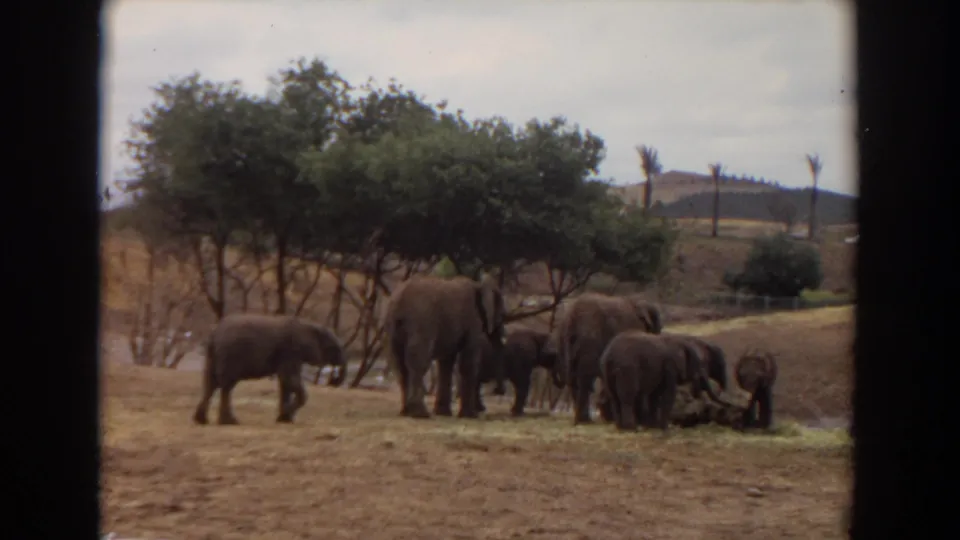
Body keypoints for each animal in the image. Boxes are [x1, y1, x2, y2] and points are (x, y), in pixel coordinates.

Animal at [192, 313, 346, 425]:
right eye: (334, 348)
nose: (334, 379)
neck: (307, 324)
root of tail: (214, 333)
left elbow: (285, 383)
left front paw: (284, 420)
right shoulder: (291, 351)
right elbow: (289, 379)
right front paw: (285, 414)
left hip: (212, 355)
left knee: (211, 384)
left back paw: (201, 421)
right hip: (230, 354)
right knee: (226, 386)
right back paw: (230, 422)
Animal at [384, 274, 507, 419]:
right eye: (502, 316)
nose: (498, 391)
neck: (479, 285)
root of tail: (399, 301)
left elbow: (446, 363)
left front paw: (443, 413)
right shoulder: (473, 320)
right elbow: (468, 362)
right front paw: (471, 416)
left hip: (392, 325)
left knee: (399, 364)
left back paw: (405, 412)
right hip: (422, 322)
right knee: (419, 362)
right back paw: (421, 414)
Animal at [556, 292, 663, 424]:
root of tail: (571, 318)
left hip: (562, 342)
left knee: (572, 379)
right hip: (589, 341)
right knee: (584, 380)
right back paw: (585, 421)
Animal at [598, 330, 731, 432]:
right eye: (699, 364)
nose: (729, 404)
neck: (678, 341)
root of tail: (610, 356)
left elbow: (655, 396)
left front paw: (654, 427)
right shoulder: (670, 366)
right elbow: (668, 394)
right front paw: (665, 429)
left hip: (606, 371)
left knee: (614, 397)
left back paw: (620, 428)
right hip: (627, 369)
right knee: (627, 397)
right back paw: (631, 429)